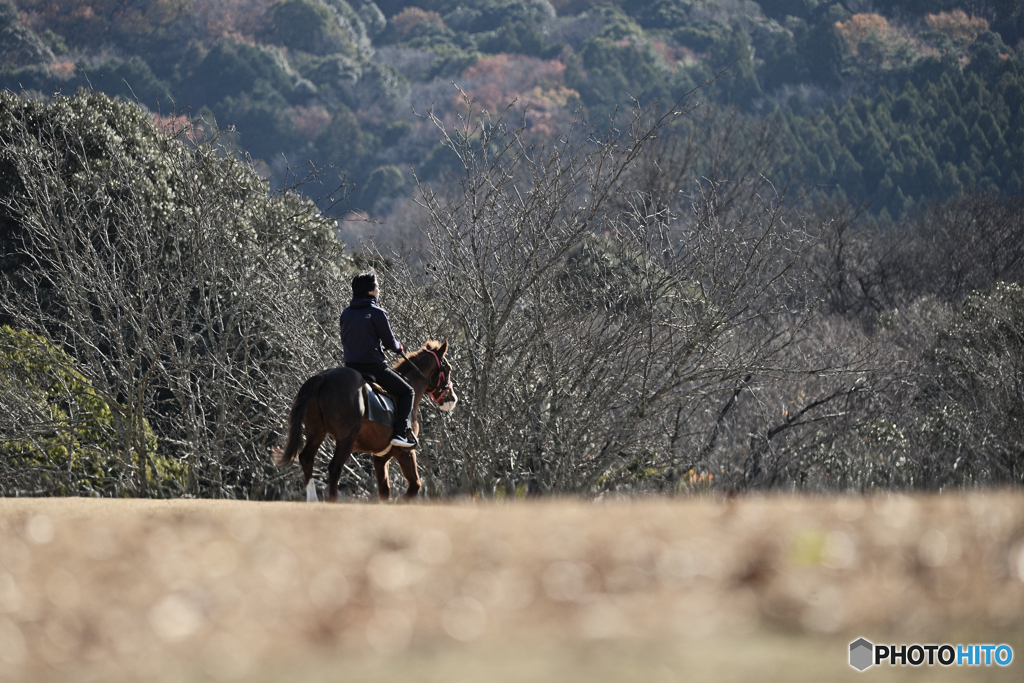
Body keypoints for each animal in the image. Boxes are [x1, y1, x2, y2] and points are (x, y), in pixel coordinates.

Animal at [276, 339, 460, 501]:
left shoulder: (380, 457)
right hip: (346, 439)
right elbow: (415, 486)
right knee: (334, 467)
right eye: (448, 368)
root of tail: (324, 377)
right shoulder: (405, 452)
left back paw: (313, 499)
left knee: (306, 459)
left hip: (316, 433)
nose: (452, 398)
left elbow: (385, 492)